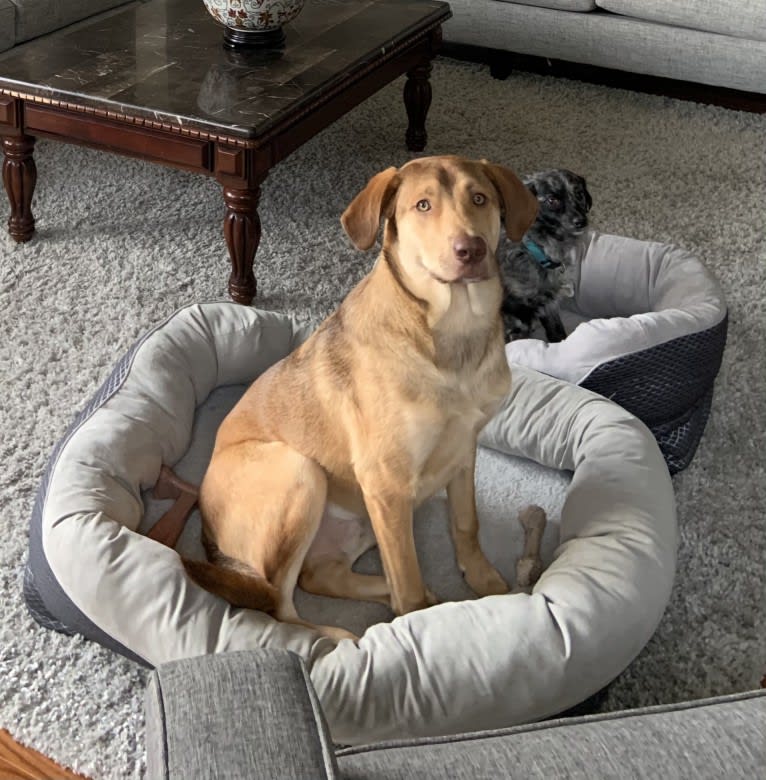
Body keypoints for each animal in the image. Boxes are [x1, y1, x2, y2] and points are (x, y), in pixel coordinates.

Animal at [182, 157, 536, 640]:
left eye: (479, 198)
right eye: (422, 205)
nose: (472, 249)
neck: (453, 334)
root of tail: (208, 538)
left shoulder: (463, 451)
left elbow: (466, 523)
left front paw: (485, 583)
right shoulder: (386, 483)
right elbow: (407, 572)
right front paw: (414, 626)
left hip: (365, 520)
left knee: (320, 577)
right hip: (303, 471)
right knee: (279, 603)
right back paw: (337, 637)